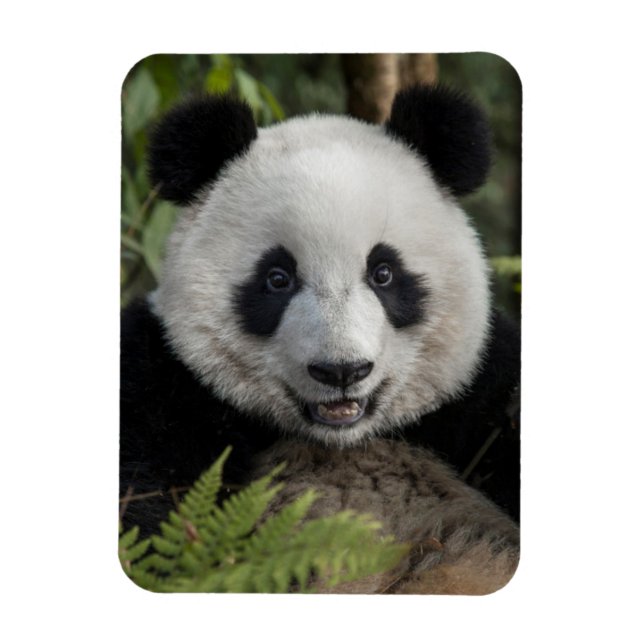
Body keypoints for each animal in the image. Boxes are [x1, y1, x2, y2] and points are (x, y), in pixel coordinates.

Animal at [120, 84, 521, 589]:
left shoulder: (481, 389)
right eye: (277, 278)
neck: (340, 439)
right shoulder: (164, 383)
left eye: (384, 272)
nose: (341, 371)